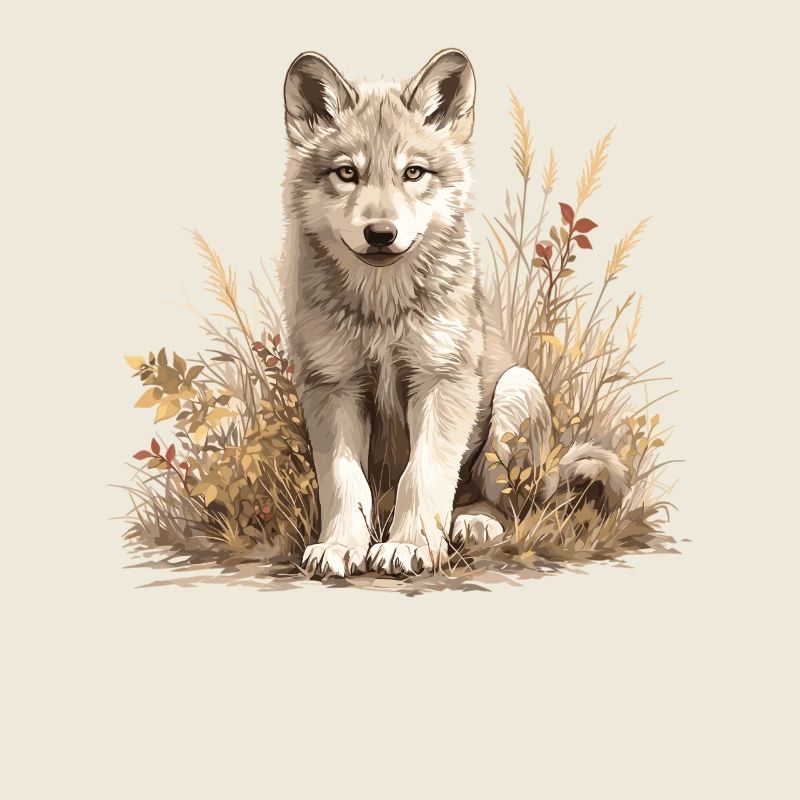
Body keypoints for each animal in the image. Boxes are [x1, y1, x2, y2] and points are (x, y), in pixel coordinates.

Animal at [279, 49, 627, 577]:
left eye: (414, 173)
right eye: (347, 173)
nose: (380, 233)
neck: (383, 308)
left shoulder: (442, 380)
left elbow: (423, 475)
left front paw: (409, 546)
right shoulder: (332, 386)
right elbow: (343, 483)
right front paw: (340, 546)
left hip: (515, 392)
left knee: (509, 508)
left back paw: (474, 522)